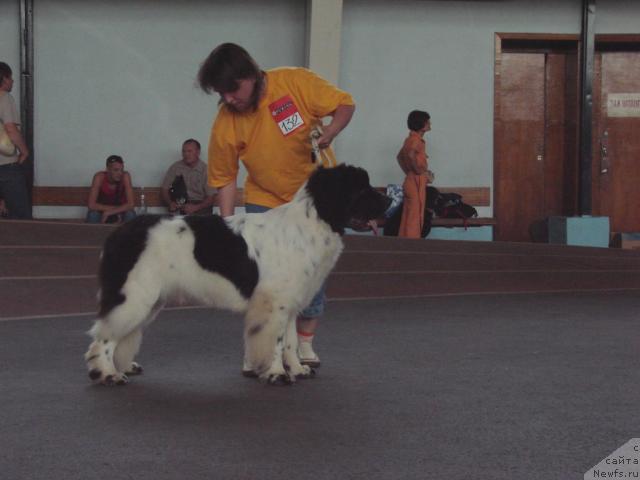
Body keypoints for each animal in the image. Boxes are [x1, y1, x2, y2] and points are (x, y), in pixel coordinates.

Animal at [85, 165, 390, 386]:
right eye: (361, 188)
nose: (388, 199)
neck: (311, 222)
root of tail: (120, 233)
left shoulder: (291, 303)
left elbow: (291, 341)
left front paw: (297, 369)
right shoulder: (275, 303)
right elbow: (277, 341)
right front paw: (277, 373)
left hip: (150, 300)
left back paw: (124, 366)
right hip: (136, 295)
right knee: (104, 336)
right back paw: (107, 373)